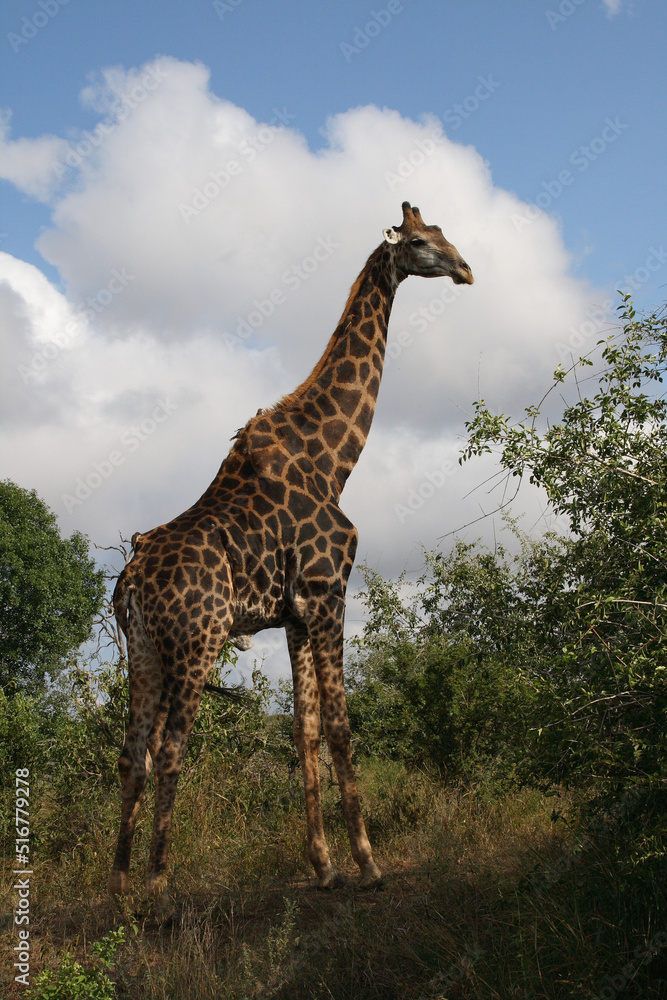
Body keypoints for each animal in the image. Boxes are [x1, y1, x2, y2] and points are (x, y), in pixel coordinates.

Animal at [109, 201, 473, 900]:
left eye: (444, 234)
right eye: (420, 243)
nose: (467, 270)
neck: (334, 461)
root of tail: (132, 579)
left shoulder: (296, 614)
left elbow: (302, 730)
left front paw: (324, 866)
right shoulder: (330, 594)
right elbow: (339, 726)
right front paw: (368, 864)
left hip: (142, 649)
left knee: (132, 753)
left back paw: (117, 892)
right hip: (196, 641)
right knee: (171, 751)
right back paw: (160, 890)